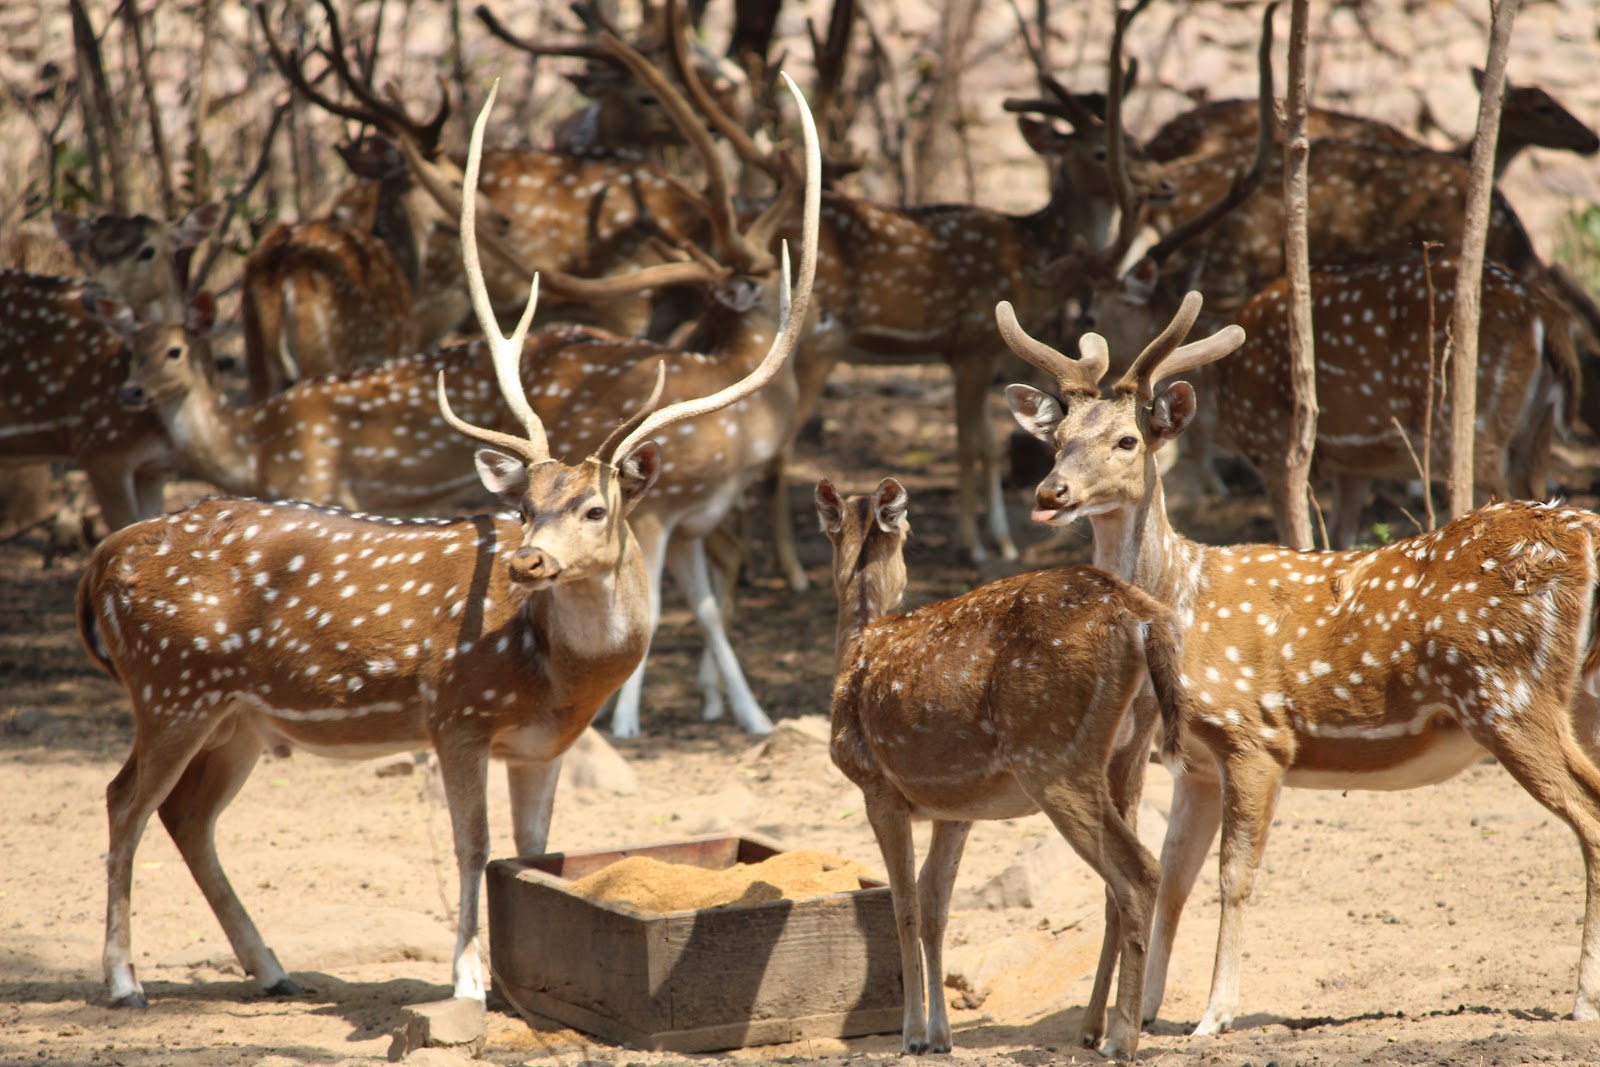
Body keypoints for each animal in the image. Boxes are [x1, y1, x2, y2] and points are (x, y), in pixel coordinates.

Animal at [77, 67, 817, 1009]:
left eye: (595, 508)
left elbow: (536, 856)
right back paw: (124, 980)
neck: (555, 676)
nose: (528, 560)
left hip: (233, 713)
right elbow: (475, 845)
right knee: (122, 800)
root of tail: (105, 557)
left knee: (185, 813)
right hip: (171, 686)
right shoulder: (454, 712)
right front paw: (465, 979)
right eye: (527, 501)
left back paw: (273, 966)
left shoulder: (542, 746)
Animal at [818, 475, 1191, 1057]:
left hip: (1051, 754)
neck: (860, 640)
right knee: (1118, 882)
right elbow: (935, 906)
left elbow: (903, 905)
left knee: (1138, 872)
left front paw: (912, 1035)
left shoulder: (875, 784)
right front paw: (941, 1035)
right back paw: (1092, 1027)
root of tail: (1144, 617)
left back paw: (1121, 1038)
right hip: (1127, 755)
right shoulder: (955, 806)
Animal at [999, 289, 1600, 1036]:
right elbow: (1171, 879)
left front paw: (1213, 1016)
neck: (1183, 599)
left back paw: (1582, 999)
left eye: (1127, 440)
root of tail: (1582, 534)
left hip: (1508, 694)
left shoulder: (1256, 735)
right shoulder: (1194, 762)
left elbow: (1233, 877)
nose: (1050, 492)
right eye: (1057, 440)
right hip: (1573, 698)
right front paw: (1143, 1012)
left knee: (1589, 819)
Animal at [1218, 255, 1580, 548]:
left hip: (1471, 423)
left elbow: (1294, 539)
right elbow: (1340, 540)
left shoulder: (1273, 447)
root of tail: (1542, 309)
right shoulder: (1355, 466)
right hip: (1537, 426)